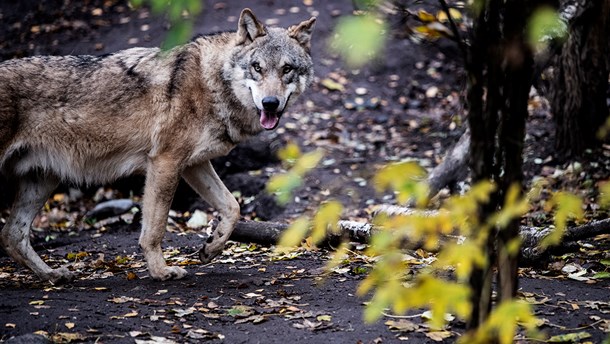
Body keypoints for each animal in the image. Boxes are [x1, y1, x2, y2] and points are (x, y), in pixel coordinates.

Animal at [0, 8, 314, 282]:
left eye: (286, 69)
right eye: (257, 68)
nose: (270, 103)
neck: (211, 83)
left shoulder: (193, 164)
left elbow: (232, 207)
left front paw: (211, 248)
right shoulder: (165, 161)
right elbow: (154, 229)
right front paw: (160, 272)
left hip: (43, 180)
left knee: (12, 235)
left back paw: (52, 275)